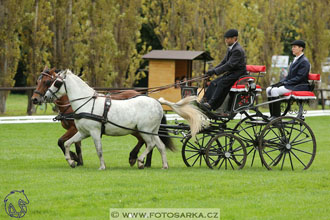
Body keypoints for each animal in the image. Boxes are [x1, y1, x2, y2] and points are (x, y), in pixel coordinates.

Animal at [45, 69, 208, 169]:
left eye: (56, 82)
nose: (46, 96)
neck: (87, 103)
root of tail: (156, 102)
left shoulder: (95, 132)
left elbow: (99, 150)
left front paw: (102, 166)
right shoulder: (83, 132)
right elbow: (67, 143)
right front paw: (72, 161)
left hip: (144, 130)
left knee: (150, 145)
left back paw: (140, 161)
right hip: (152, 131)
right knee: (160, 146)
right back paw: (164, 165)